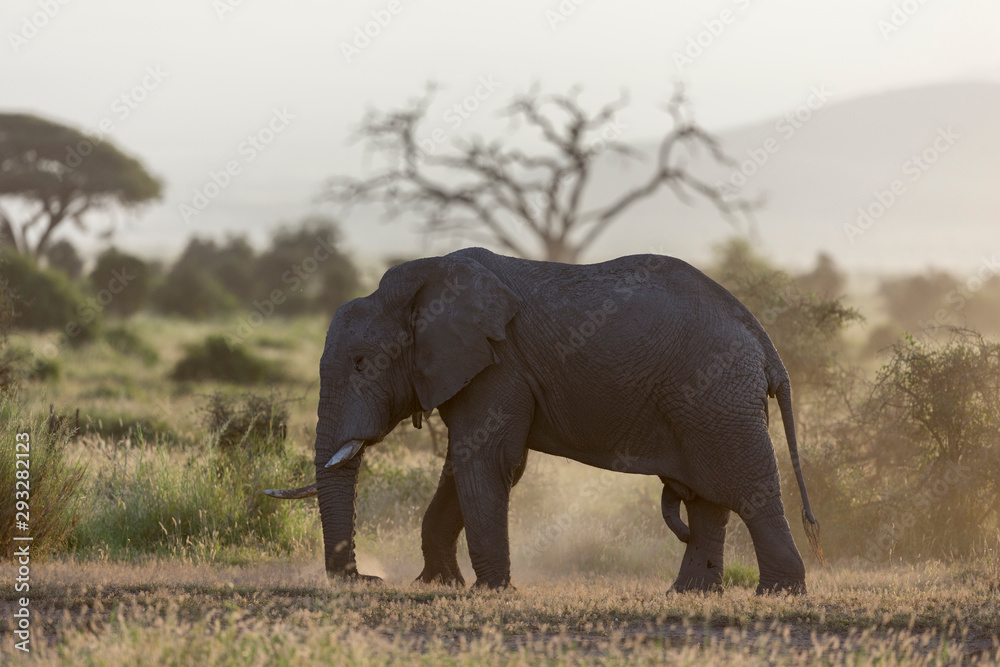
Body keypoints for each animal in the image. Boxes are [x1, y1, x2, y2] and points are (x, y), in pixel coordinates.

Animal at [265, 247, 819, 594]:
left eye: (361, 364)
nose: (364, 578)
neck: (419, 287)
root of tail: (765, 343)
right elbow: (462, 465)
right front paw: (440, 584)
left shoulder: (497, 363)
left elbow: (487, 461)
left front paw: (491, 590)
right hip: (707, 402)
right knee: (708, 497)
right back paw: (688, 596)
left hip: (716, 393)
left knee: (745, 486)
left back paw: (778, 595)